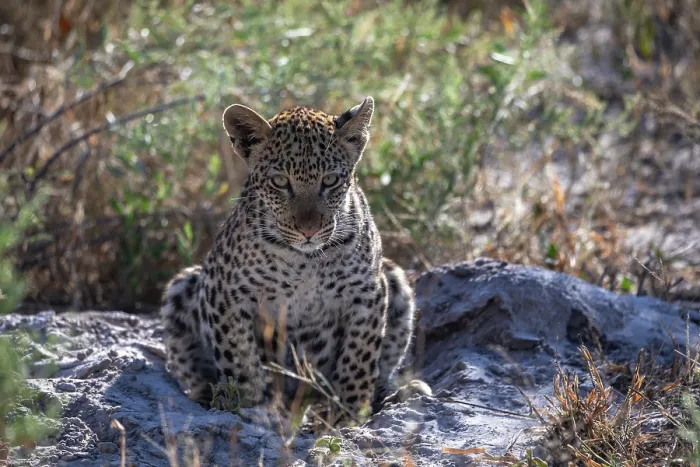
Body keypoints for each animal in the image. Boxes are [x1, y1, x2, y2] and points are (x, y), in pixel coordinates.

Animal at [160, 97, 429, 426]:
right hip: (183, 285)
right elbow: (239, 357)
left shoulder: (367, 293)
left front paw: (350, 415)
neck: (305, 261)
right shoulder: (225, 292)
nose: (308, 230)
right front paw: (249, 407)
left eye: (330, 180)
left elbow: (359, 358)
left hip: (394, 278)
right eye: (279, 182)